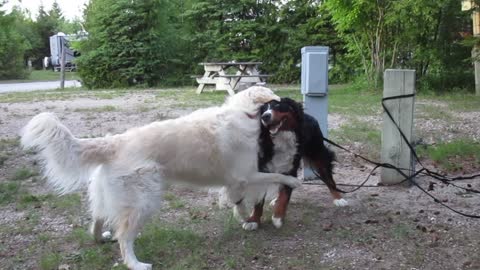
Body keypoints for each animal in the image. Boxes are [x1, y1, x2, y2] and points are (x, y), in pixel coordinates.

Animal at [22, 87, 302, 270]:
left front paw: (243, 216)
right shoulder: (247, 174)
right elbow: (274, 176)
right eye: (276, 103)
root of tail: (115, 142)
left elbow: (236, 199)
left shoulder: (236, 180)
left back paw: (101, 238)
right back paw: (136, 264)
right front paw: (291, 183)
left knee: (98, 219)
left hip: (110, 196)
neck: (243, 113)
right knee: (124, 237)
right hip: (143, 201)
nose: (292, 104)